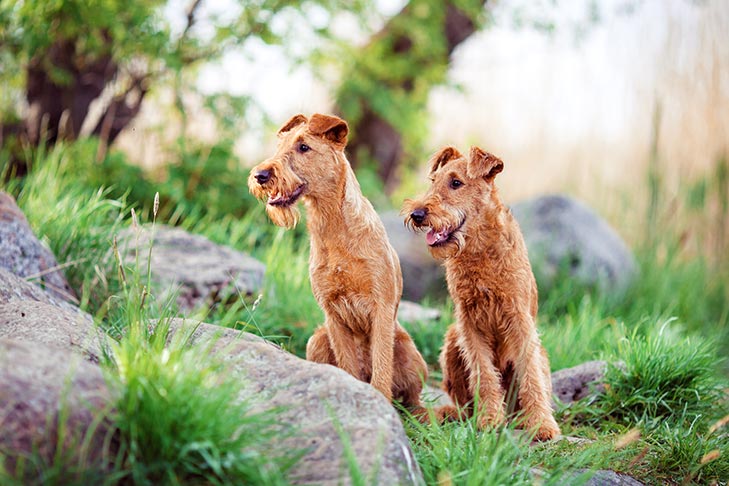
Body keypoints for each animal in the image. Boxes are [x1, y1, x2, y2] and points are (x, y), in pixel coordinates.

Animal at [247, 113, 430, 410]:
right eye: (280, 145)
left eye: (304, 147)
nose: (260, 176)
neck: (333, 226)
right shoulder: (332, 313)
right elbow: (347, 364)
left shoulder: (380, 307)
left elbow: (382, 367)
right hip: (316, 339)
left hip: (410, 352)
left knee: (413, 399)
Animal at [400, 144, 560, 440]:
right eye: (433, 181)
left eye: (456, 183)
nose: (417, 215)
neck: (479, 249)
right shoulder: (470, 322)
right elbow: (484, 375)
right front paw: (489, 420)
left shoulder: (519, 319)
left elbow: (531, 376)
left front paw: (542, 425)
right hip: (452, 341)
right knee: (465, 404)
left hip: (539, 353)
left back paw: (521, 419)